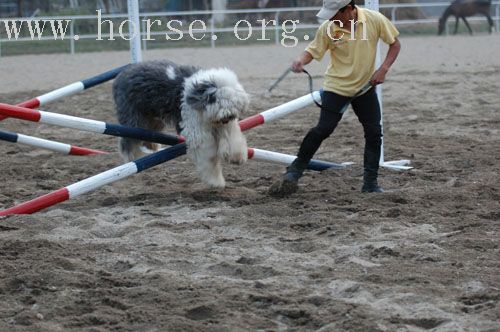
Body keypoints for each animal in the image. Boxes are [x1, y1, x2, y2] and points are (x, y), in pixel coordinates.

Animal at [115, 61, 252, 188]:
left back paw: (151, 145)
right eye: (216, 99)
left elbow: (232, 139)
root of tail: (123, 73)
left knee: (147, 133)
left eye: (233, 102)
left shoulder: (223, 125)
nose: (229, 115)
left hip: (153, 118)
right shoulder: (198, 134)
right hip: (133, 118)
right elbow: (209, 158)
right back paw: (131, 158)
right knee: (128, 141)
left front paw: (237, 157)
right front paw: (215, 181)